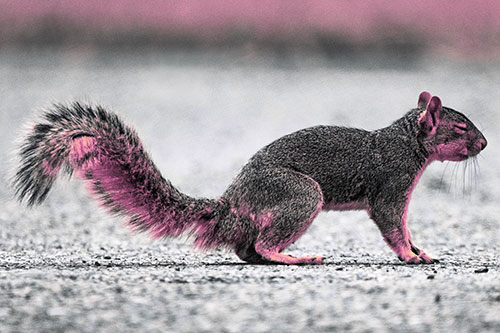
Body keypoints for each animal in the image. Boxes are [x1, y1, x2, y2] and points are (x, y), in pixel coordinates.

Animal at [11, 91, 486, 264]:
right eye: (460, 127)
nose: (483, 144)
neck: (408, 143)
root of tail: (231, 204)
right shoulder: (391, 184)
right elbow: (392, 225)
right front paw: (410, 256)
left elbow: (404, 226)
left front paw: (421, 250)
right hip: (300, 194)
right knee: (261, 244)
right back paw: (294, 258)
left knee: (246, 250)